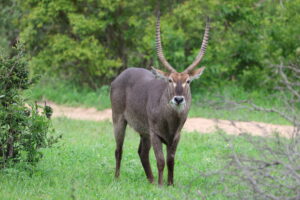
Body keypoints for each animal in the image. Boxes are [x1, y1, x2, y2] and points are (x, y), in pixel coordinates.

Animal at [109, 13, 209, 186]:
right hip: (119, 119)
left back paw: (150, 179)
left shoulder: (175, 137)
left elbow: (171, 161)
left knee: (142, 152)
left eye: (188, 81)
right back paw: (117, 178)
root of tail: (120, 76)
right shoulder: (155, 133)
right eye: (170, 80)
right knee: (119, 150)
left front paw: (170, 184)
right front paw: (161, 185)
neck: (171, 120)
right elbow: (161, 160)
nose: (178, 99)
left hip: (144, 132)